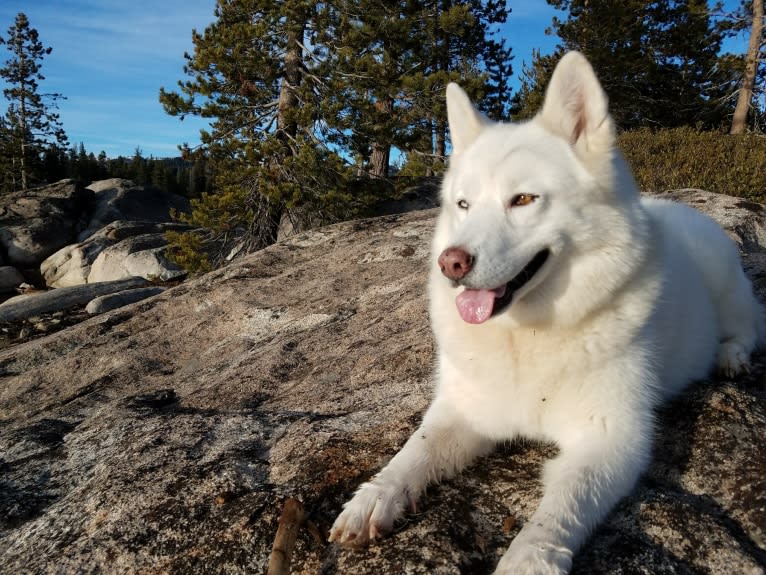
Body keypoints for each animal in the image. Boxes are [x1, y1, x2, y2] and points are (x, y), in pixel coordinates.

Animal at [330, 51, 760, 572]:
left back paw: (732, 356)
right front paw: (375, 497)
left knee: (750, 325)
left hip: (727, 287)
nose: (451, 263)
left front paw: (527, 559)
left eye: (523, 199)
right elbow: (413, 452)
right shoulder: (462, 411)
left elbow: (559, 512)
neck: (526, 336)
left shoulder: (610, 440)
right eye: (463, 204)